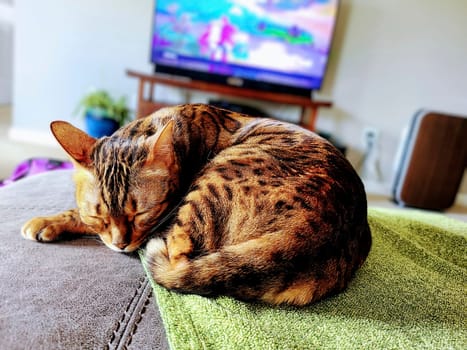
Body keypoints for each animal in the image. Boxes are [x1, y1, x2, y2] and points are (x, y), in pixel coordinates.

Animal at [22, 104, 372, 306]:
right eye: (101, 217)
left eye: (141, 213)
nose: (120, 244)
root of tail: (317, 228)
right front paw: (51, 221)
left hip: (212, 179)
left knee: (179, 256)